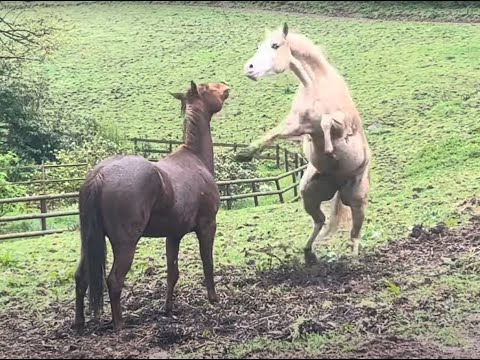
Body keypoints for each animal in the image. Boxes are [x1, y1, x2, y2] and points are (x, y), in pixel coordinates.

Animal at [237, 23, 372, 262]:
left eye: (275, 45)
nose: (249, 68)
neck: (316, 86)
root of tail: (338, 185)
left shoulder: (341, 125)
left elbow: (327, 123)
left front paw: (329, 149)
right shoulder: (296, 125)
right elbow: (273, 134)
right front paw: (245, 153)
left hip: (357, 199)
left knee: (355, 233)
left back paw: (354, 260)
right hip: (309, 194)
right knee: (320, 221)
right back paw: (309, 253)